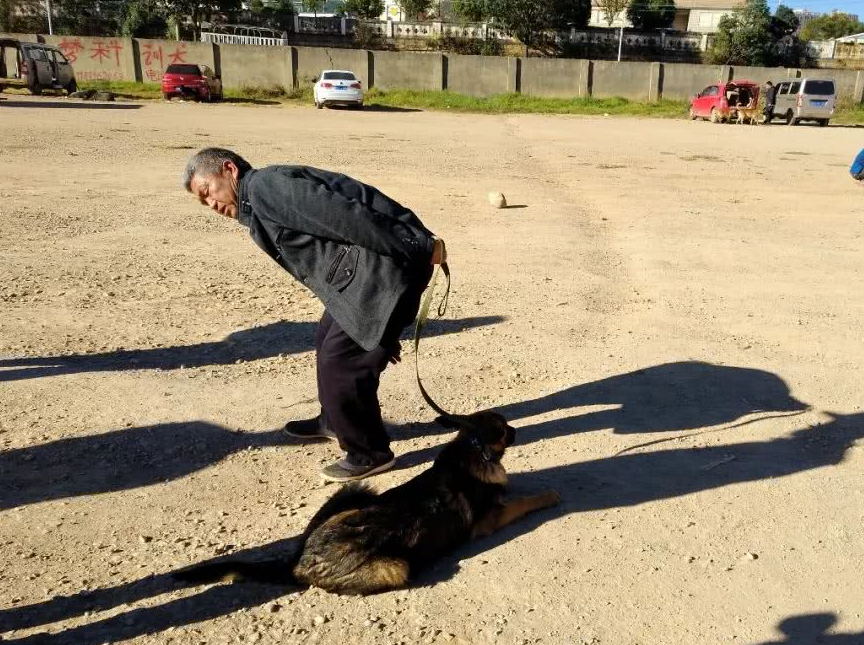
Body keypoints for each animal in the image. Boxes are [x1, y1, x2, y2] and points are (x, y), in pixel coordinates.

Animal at [174, 410, 560, 596]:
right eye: (505, 427)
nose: (516, 432)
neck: (473, 446)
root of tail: (299, 561)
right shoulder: (489, 520)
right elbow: (525, 500)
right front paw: (548, 495)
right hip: (396, 567)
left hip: (357, 493)